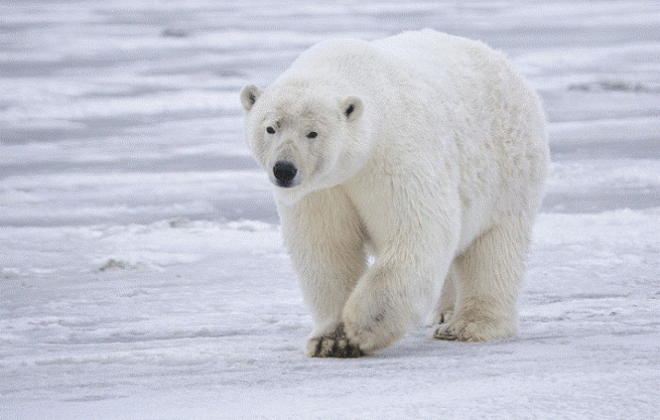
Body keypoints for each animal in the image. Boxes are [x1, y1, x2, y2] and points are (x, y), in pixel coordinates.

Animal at [240, 28, 548, 358]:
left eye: (312, 133)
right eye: (271, 128)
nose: (284, 169)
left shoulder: (394, 157)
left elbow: (416, 231)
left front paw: (363, 327)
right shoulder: (321, 190)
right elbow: (327, 248)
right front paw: (330, 340)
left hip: (507, 171)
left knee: (493, 249)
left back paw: (467, 325)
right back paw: (444, 312)